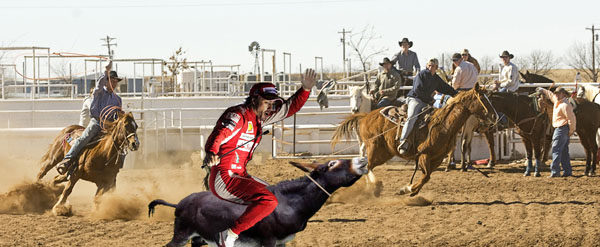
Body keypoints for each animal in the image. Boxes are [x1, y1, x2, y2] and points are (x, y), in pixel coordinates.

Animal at [330, 84, 494, 196]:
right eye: (482, 99)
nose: (494, 115)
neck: (443, 124)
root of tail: (365, 116)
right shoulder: (424, 155)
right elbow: (426, 176)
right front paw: (409, 189)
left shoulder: (437, 158)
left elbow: (426, 177)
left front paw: (407, 188)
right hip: (374, 147)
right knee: (367, 166)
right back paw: (374, 186)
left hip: (384, 153)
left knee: (368, 166)